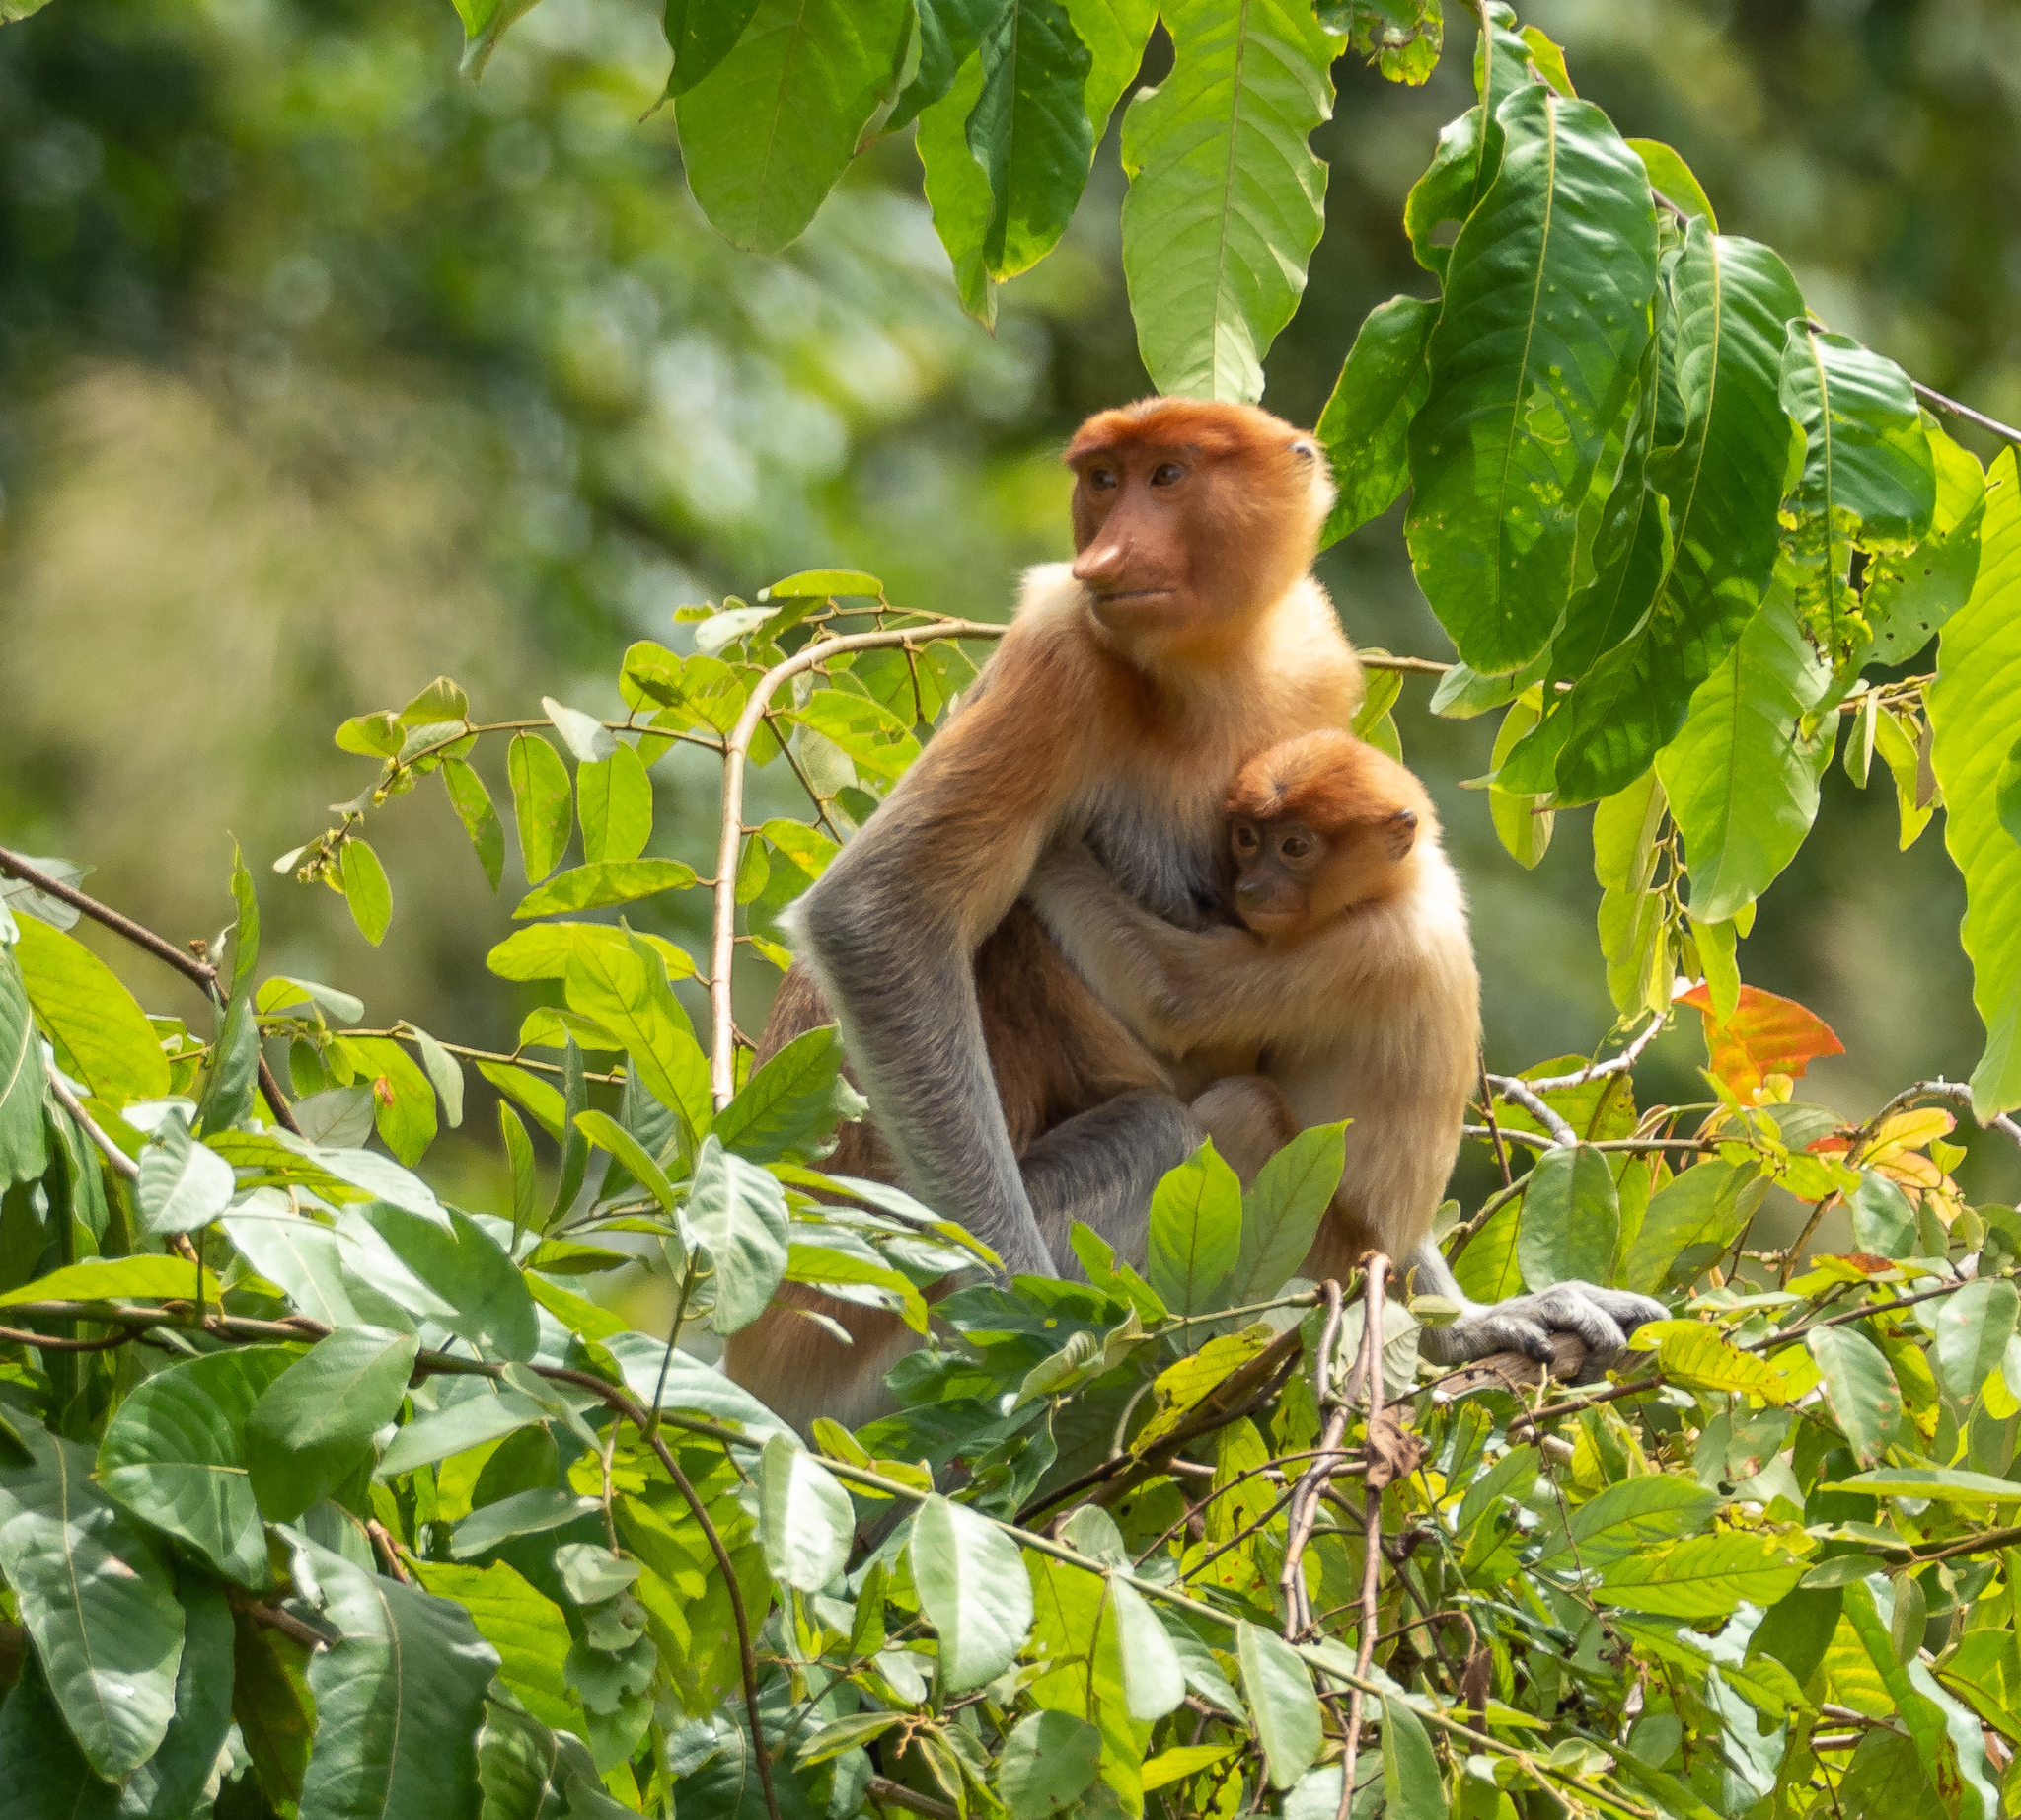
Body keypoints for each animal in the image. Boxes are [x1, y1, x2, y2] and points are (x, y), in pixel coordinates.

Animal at [1024, 728, 1669, 1365]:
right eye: (1248, 838)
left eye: (1295, 847)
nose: (1251, 887)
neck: (1401, 888)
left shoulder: (1362, 948)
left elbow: (1171, 996)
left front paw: (1052, 852)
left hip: (1323, 1252)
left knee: (1243, 1107)